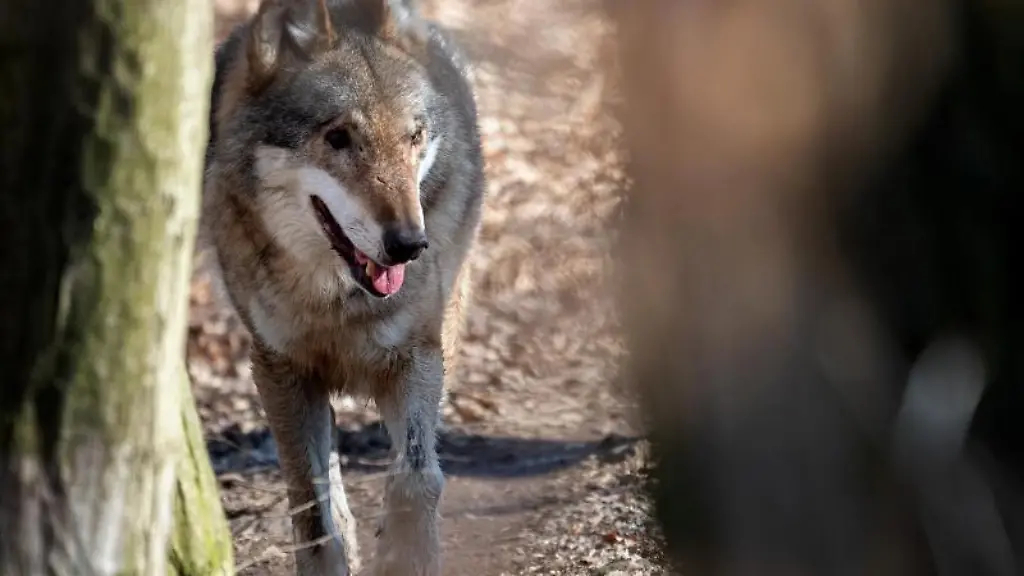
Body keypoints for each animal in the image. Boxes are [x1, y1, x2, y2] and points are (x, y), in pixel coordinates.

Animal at [202, 0, 484, 573]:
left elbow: (417, 477)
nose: (409, 244)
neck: (336, 302)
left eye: (413, 137)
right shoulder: (279, 368)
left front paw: (402, 554)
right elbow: (311, 509)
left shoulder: (420, 354)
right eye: (338, 137)